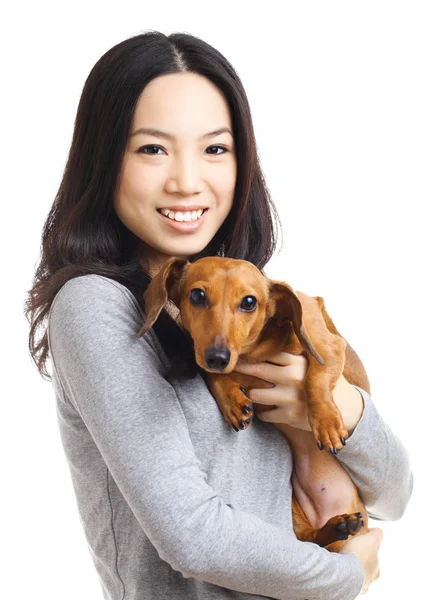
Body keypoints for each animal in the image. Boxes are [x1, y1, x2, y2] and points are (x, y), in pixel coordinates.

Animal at [136, 255, 370, 552]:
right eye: (197, 295)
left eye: (249, 302)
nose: (217, 357)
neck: (254, 350)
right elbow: (213, 375)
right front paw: (232, 401)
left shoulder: (327, 347)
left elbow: (315, 379)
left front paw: (326, 424)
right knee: (307, 538)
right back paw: (337, 526)